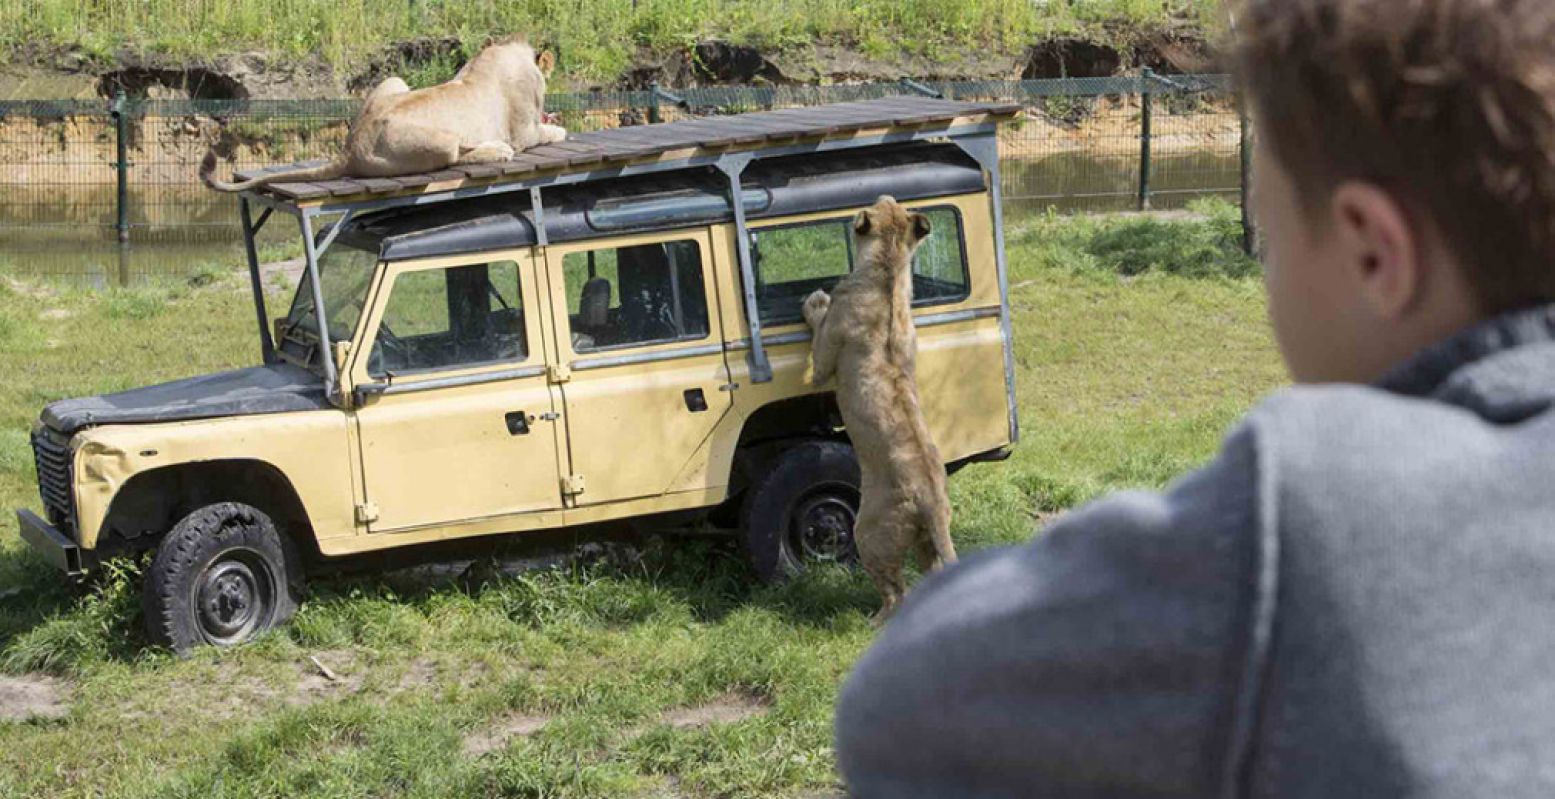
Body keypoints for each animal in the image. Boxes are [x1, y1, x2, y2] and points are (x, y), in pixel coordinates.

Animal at [197, 37, 569, 192]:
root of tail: (350, 149)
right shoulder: (523, 133)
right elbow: (550, 132)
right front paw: (559, 129)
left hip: (394, 81)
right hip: (441, 139)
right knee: (457, 155)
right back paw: (496, 151)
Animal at [808, 194, 951, 621]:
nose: (884, 196)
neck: (888, 271)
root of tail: (931, 499)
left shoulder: (824, 361)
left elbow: (818, 327)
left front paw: (815, 300)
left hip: (869, 533)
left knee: (894, 592)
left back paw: (875, 619)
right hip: (923, 540)